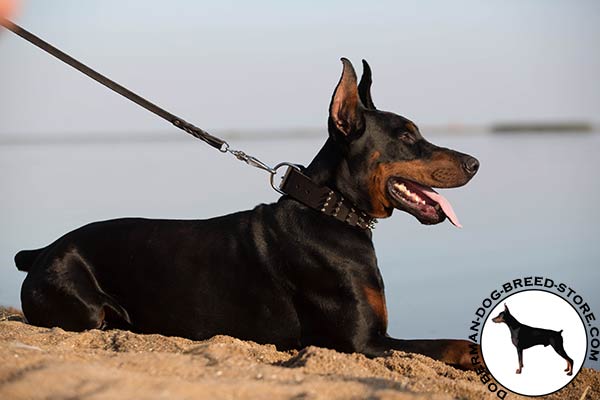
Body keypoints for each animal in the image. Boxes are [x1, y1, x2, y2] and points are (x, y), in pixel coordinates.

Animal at [14, 58, 480, 368]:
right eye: (406, 137)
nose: (475, 163)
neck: (330, 210)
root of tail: (40, 251)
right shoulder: (362, 341)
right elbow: (451, 344)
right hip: (82, 303)